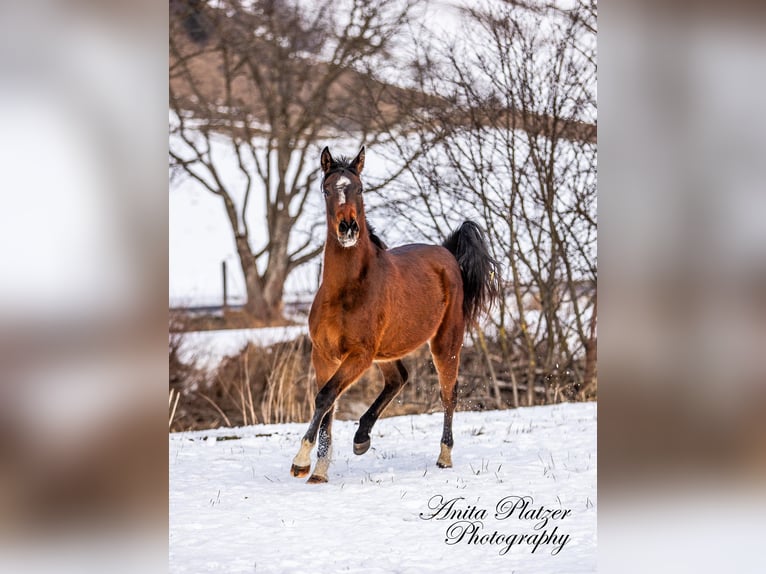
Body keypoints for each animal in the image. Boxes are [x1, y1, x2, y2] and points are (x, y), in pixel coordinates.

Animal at [292, 146, 500, 484]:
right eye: (326, 189)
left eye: (359, 188)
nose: (348, 228)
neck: (347, 289)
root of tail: (448, 254)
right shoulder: (324, 355)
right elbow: (328, 404)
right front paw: (319, 471)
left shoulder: (359, 355)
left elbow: (325, 398)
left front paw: (300, 462)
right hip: (385, 351)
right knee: (399, 378)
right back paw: (361, 437)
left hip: (444, 343)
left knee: (448, 393)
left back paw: (444, 457)